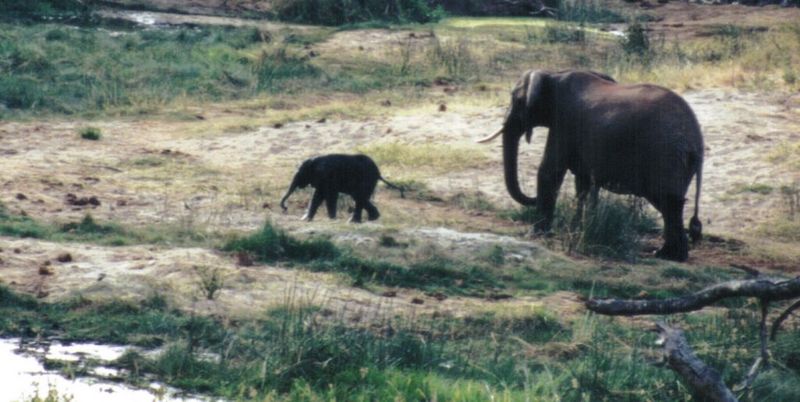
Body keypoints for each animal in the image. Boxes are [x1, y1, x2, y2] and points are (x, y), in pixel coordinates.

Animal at [478, 70, 704, 262]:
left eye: (516, 100)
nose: (531, 198)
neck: (553, 74)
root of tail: (697, 140)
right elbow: (582, 183)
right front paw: (577, 229)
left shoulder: (564, 121)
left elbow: (550, 171)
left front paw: (535, 234)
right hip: (677, 160)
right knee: (672, 204)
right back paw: (671, 255)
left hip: (665, 156)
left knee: (668, 202)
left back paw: (666, 255)